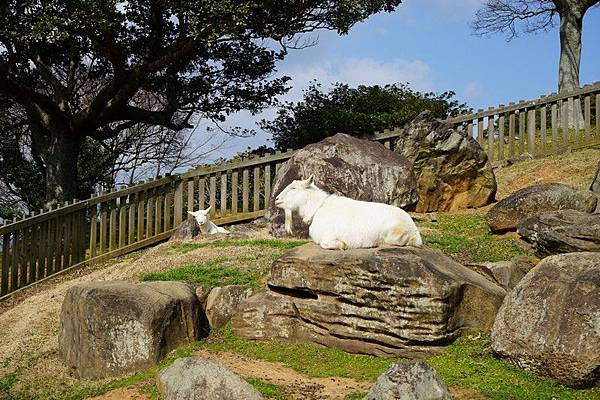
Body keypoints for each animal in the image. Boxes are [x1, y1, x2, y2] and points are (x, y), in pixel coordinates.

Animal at [276, 176, 422, 250]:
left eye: (293, 188)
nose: (277, 199)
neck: (318, 208)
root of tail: (414, 231)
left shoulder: (329, 236)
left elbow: (326, 244)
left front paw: (343, 245)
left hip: (393, 233)